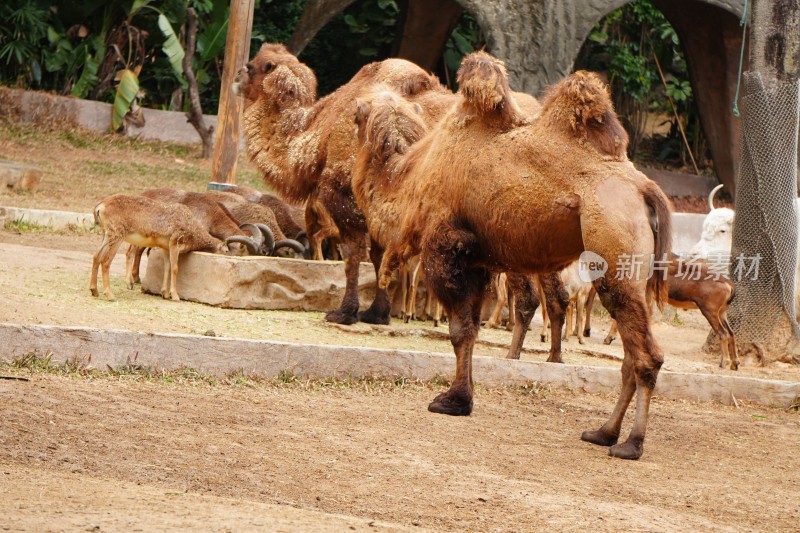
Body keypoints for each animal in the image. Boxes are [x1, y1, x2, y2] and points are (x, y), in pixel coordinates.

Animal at [234, 42, 454, 324]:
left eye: (252, 66)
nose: (236, 76)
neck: (318, 139)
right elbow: (378, 255)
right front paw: (377, 313)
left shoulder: (343, 198)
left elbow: (353, 254)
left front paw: (344, 312)